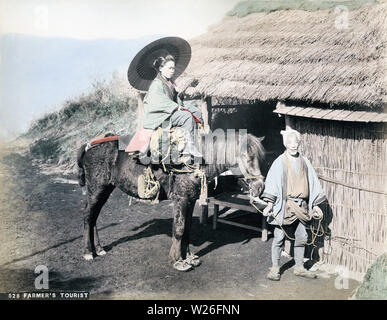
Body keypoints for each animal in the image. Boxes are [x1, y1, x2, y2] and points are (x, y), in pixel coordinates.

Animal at [77, 131, 266, 270]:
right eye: (246, 157)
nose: (259, 187)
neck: (194, 162)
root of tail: (89, 146)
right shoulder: (180, 200)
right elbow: (179, 229)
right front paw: (176, 260)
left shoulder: (190, 200)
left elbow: (187, 229)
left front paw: (188, 257)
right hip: (96, 188)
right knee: (87, 215)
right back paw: (87, 252)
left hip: (105, 188)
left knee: (93, 216)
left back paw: (98, 249)